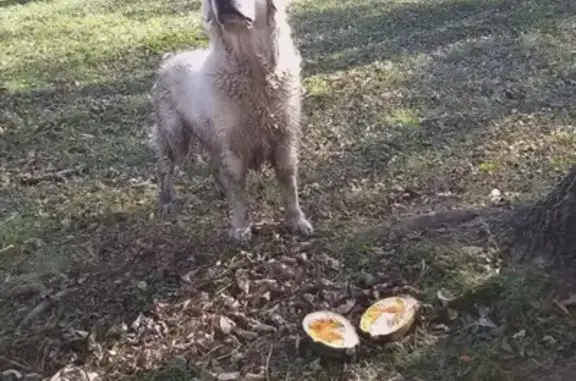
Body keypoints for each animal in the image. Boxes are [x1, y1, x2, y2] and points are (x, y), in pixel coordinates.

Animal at [147, 0, 310, 242]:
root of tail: (170, 60)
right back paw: (166, 201)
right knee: (166, 168)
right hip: (174, 136)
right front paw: (241, 226)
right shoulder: (233, 144)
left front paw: (296, 220)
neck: (253, 69)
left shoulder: (284, 138)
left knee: (214, 166)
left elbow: (288, 182)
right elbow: (239, 189)